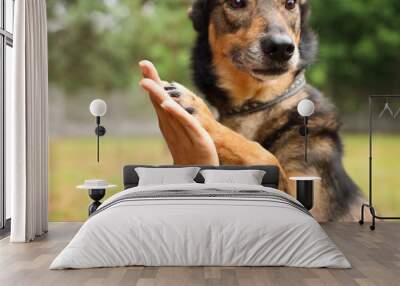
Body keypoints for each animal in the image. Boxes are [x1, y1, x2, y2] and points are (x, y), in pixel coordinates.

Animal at [169, 0, 362, 221]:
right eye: (236, 3)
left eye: (290, 4)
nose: (281, 48)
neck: (254, 105)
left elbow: (263, 155)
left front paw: (202, 113)